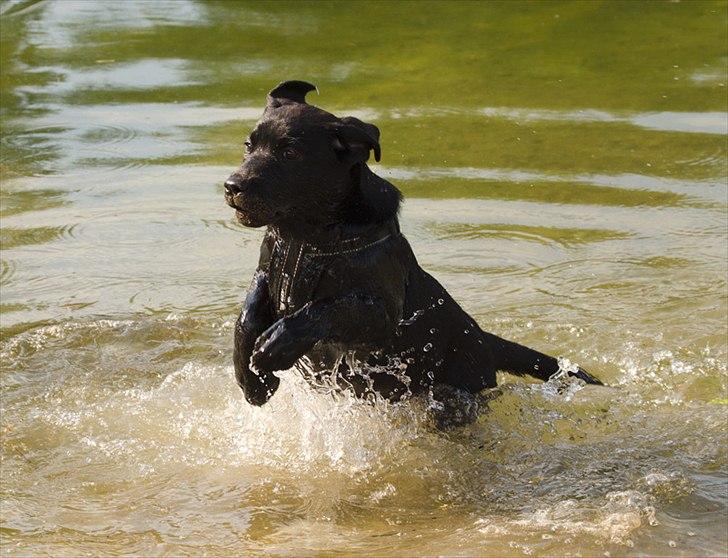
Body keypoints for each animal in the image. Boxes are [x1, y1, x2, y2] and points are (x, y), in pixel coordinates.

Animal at [223, 79, 604, 420]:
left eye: (290, 153)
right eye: (248, 145)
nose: (231, 186)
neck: (305, 241)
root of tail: (484, 339)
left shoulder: (382, 314)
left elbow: (327, 308)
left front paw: (275, 346)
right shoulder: (266, 270)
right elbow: (247, 314)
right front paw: (251, 379)